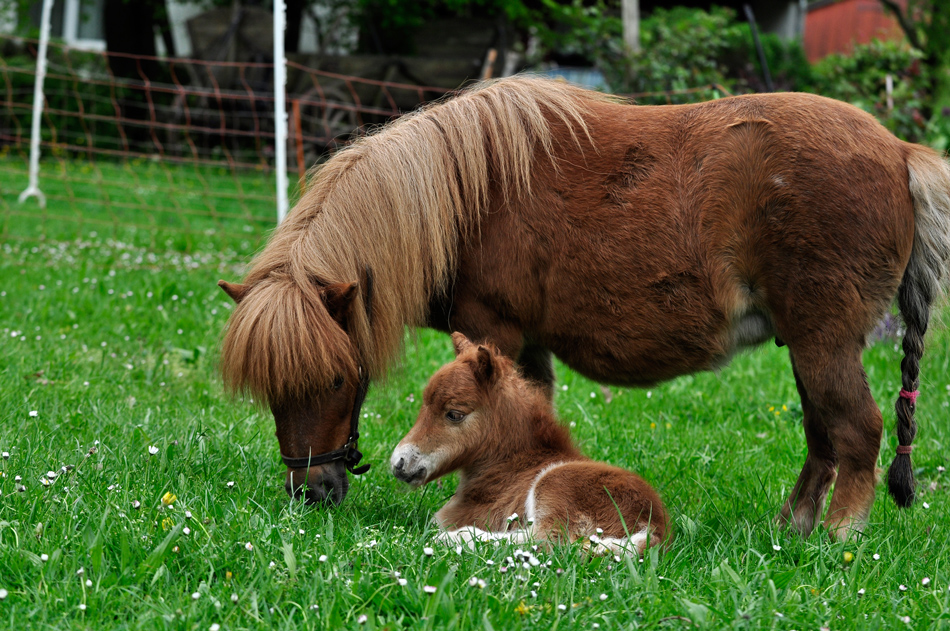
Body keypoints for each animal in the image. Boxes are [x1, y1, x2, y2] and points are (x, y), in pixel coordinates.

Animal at [392, 334, 668, 556]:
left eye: (454, 414)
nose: (399, 462)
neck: (513, 464)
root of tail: (656, 528)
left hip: (555, 483)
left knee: (550, 541)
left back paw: (451, 539)